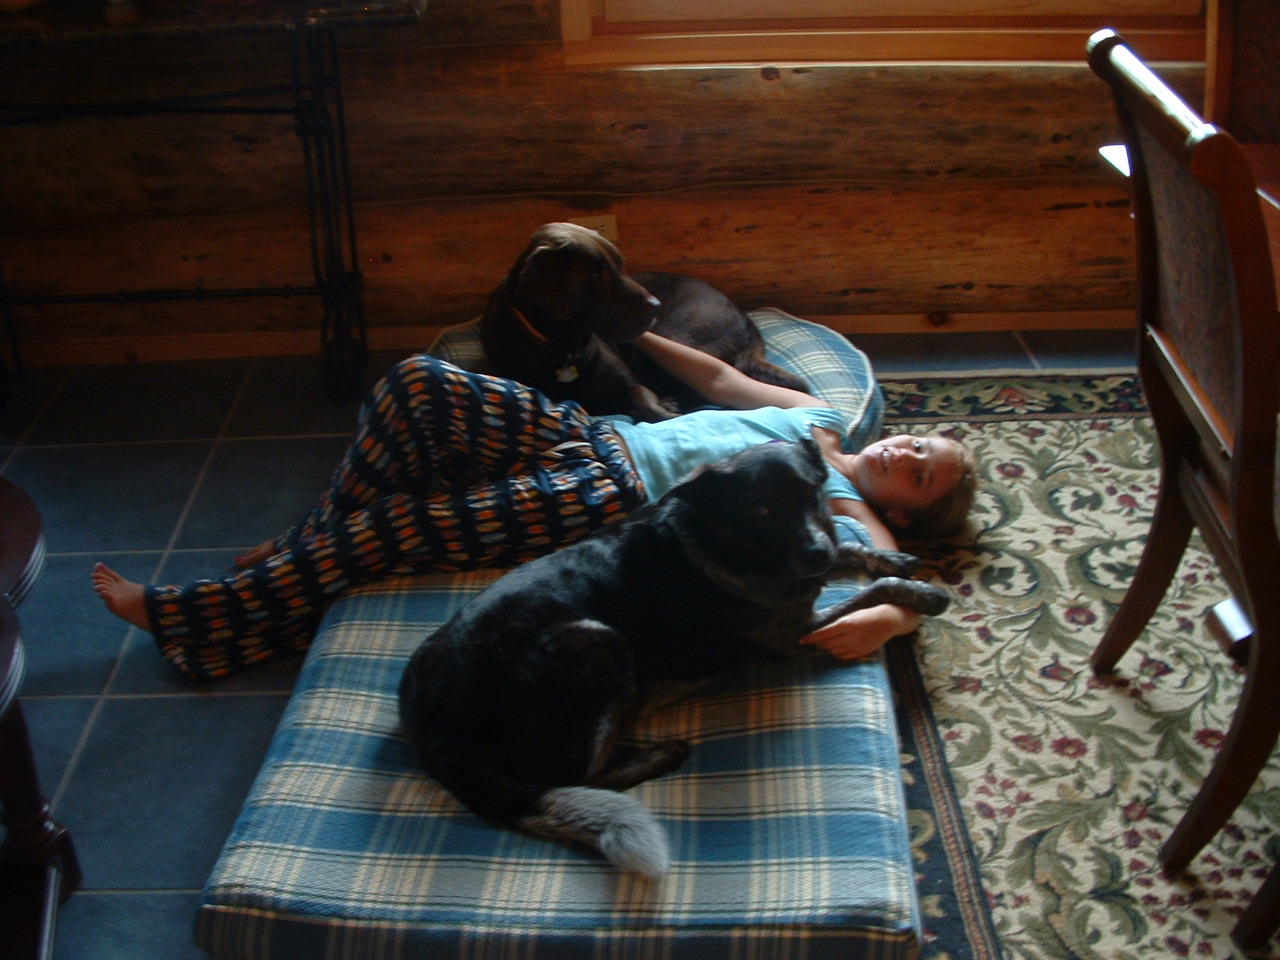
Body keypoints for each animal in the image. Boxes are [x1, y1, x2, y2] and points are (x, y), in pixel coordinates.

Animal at [398, 438, 949, 876]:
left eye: (811, 490)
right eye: (761, 509)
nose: (815, 554)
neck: (724, 541)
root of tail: (429, 731)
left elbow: (853, 550)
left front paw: (896, 558)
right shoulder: (792, 634)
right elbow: (872, 588)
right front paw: (922, 594)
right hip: (599, 642)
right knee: (581, 777)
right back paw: (662, 754)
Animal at [478, 222, 810, 422]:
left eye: (621, 264)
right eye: (596, 275)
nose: (655, 307)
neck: (561, 349)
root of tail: (746, 319)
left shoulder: (633, 384)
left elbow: (648, 406)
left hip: (677, 340)